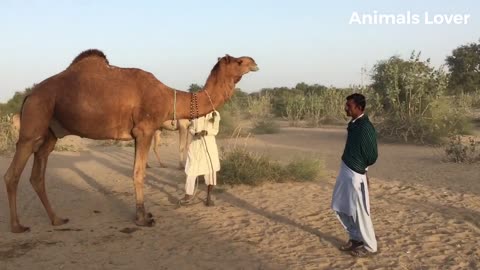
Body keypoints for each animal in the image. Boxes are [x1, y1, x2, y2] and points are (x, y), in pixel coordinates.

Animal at [4, 49, 258, 233]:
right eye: (238, 61)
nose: (254, 62)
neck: (169, 96)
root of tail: (29, 95)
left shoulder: (139, 134)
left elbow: (138, 170)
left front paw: (144, 214)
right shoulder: (145, 129)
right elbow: (139, 173)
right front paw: (143, 218)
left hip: (50, 132)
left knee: (38, 174)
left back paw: (57, 219)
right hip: (34, 122)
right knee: (12, 173)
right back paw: (17, 226)